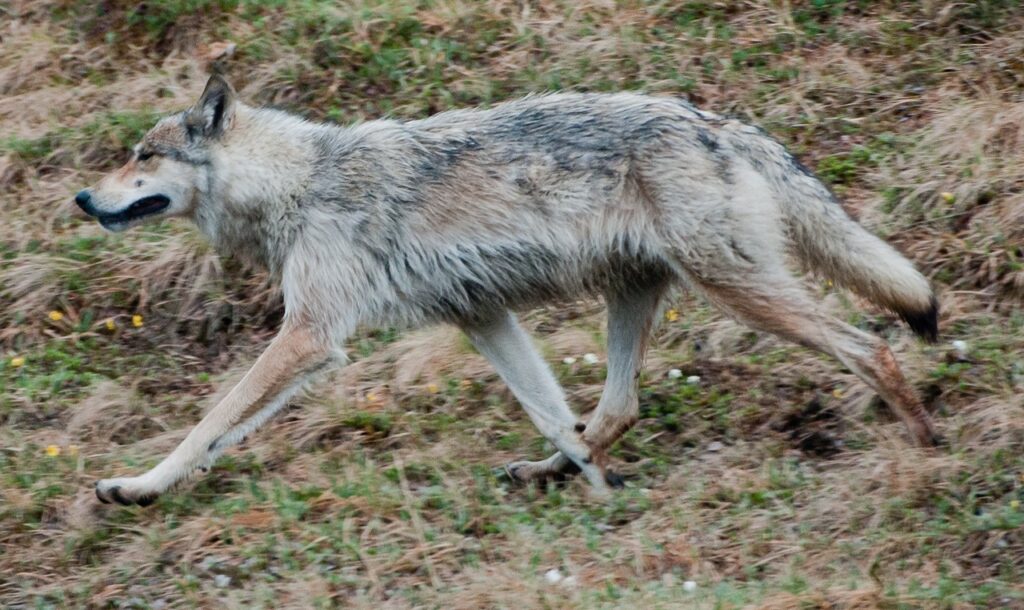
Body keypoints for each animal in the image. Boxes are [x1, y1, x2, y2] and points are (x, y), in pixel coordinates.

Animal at [76, 74, 939, 505]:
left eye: (142, 156)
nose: (84, 198)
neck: (300, 184)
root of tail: (720, 122)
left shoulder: (311, 337)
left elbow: (208, 424)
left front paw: (138, 486)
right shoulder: (482, 317)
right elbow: (554, 413)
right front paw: (598, 491)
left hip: (737, 288)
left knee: (870, 348)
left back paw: (928, 448)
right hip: (636, 297)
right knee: (614, 411)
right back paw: (554, 473)